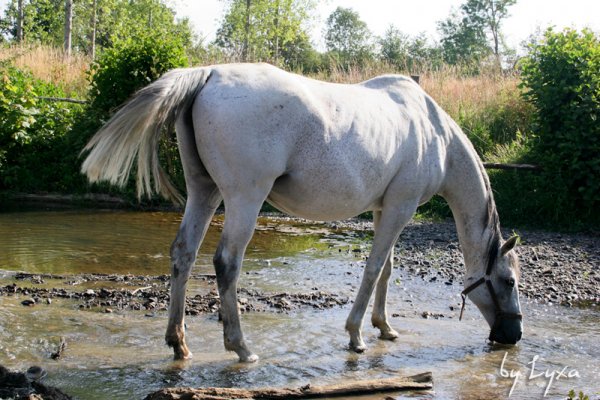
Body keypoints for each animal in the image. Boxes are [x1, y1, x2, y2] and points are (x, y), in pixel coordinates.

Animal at [82, 63, 524, 362]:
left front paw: (384, 327)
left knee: (183, 254)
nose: (513, 335)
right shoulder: (401, 208)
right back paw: (241, 348)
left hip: (204, 193)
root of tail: (208, 74)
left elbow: (386, 269)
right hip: (244, 199)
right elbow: (373, 268)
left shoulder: (387, 209)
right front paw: (356, 336)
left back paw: (179, 343)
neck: (434, 134)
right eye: (509, 281)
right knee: (226, 263)